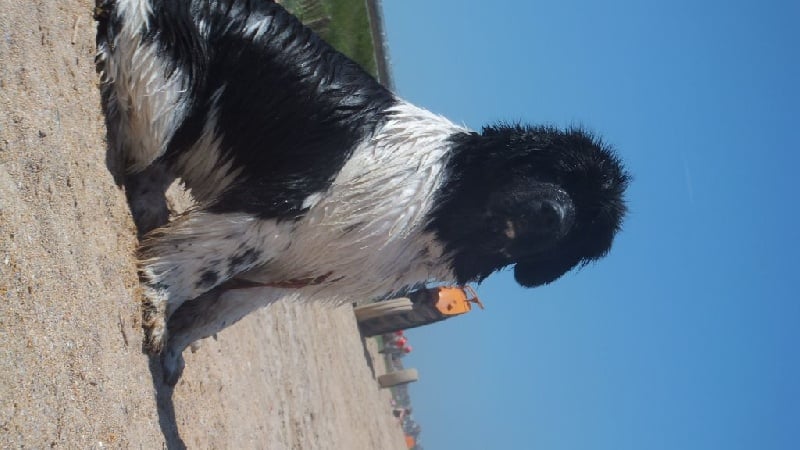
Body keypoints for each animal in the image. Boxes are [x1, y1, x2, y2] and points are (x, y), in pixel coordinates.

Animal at [95, 0, 630, 384]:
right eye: (556, 172)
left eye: (582, 225)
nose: (553, 213)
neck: (441, 203)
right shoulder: (277, 212)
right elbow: (191, 267)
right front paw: (157, 309)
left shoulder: (281, 273)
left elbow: (213, 314)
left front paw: (174, 346)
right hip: (168, 89)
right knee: (145, 144)